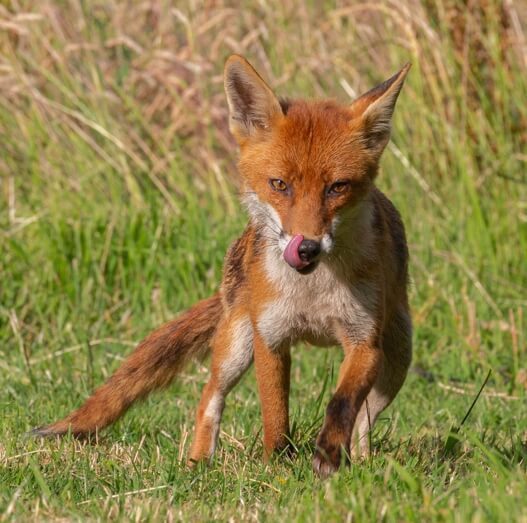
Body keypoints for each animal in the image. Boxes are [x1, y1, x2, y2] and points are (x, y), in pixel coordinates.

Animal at [33, 55, 414, 476]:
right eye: (279, 184)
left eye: (337, 188)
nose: (307, 247)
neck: (312, 292)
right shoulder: (271, 338)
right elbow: (275, 414)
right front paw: (277, 464)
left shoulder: (364, 342)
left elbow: (343, 401)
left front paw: (329, 453)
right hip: (235, 346)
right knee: (208, 397)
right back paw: (198, 462)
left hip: (397, 361)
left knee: (365, 419)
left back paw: (360, 460)